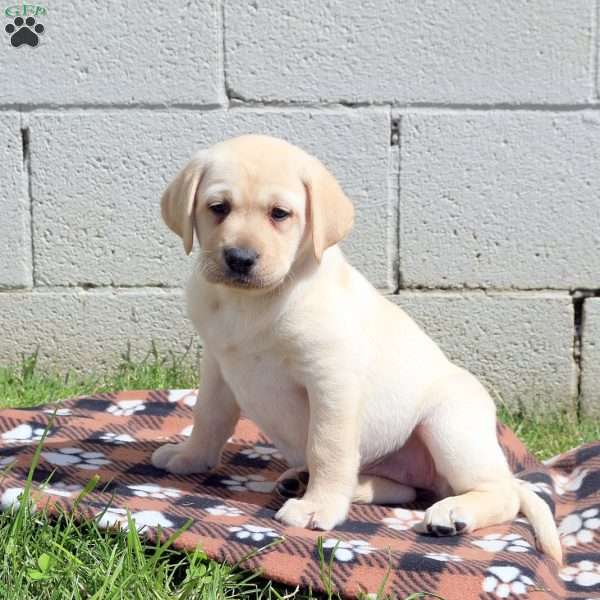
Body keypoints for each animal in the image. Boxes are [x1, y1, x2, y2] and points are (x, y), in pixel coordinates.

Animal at [151, 134, 564, 560]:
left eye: (280, 214)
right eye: (218, 208)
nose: (240, 258)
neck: (252, 303)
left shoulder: (331, 378)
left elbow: (327, 446)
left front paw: (318, 507)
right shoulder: (218, 367)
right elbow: (208, 418)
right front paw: (190, 457)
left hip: (450, 425)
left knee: (501, 494)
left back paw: (451, 512)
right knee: (406, 489)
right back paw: (320, 483)